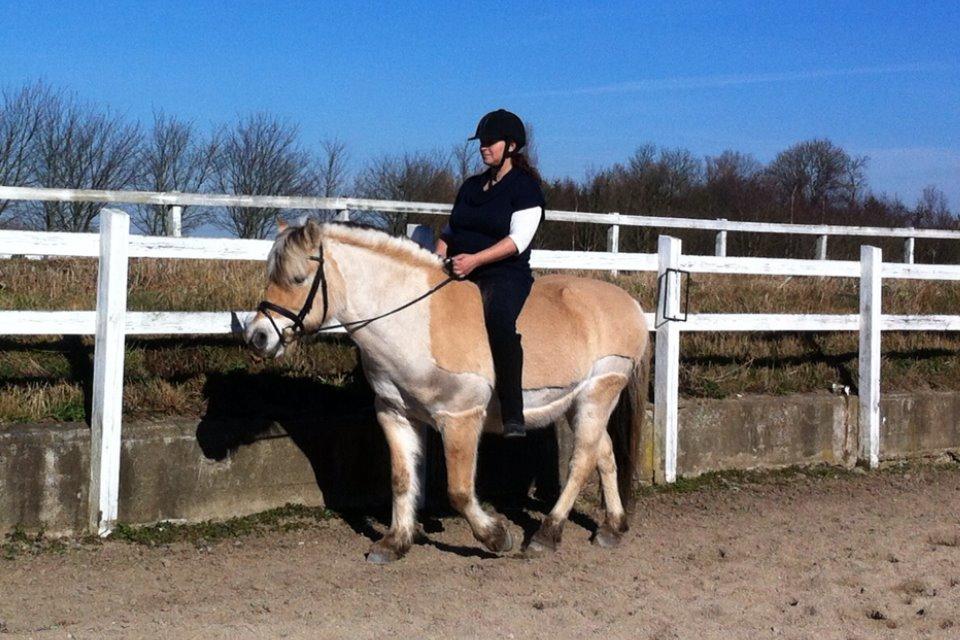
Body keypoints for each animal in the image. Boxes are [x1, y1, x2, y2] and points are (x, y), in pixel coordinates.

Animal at [248, 222, 652, 564]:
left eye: (297, 278)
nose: (258, 337)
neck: (415, 322)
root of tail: (629, 303)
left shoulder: (460, 419)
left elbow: (458, 490)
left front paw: (495, 537)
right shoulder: (395, 414)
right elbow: (401, 480)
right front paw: (394, 543)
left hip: (600, 393)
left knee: (581, 460)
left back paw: (547, 534)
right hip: (578, 401)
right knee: (604, 454)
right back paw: (612, 527)